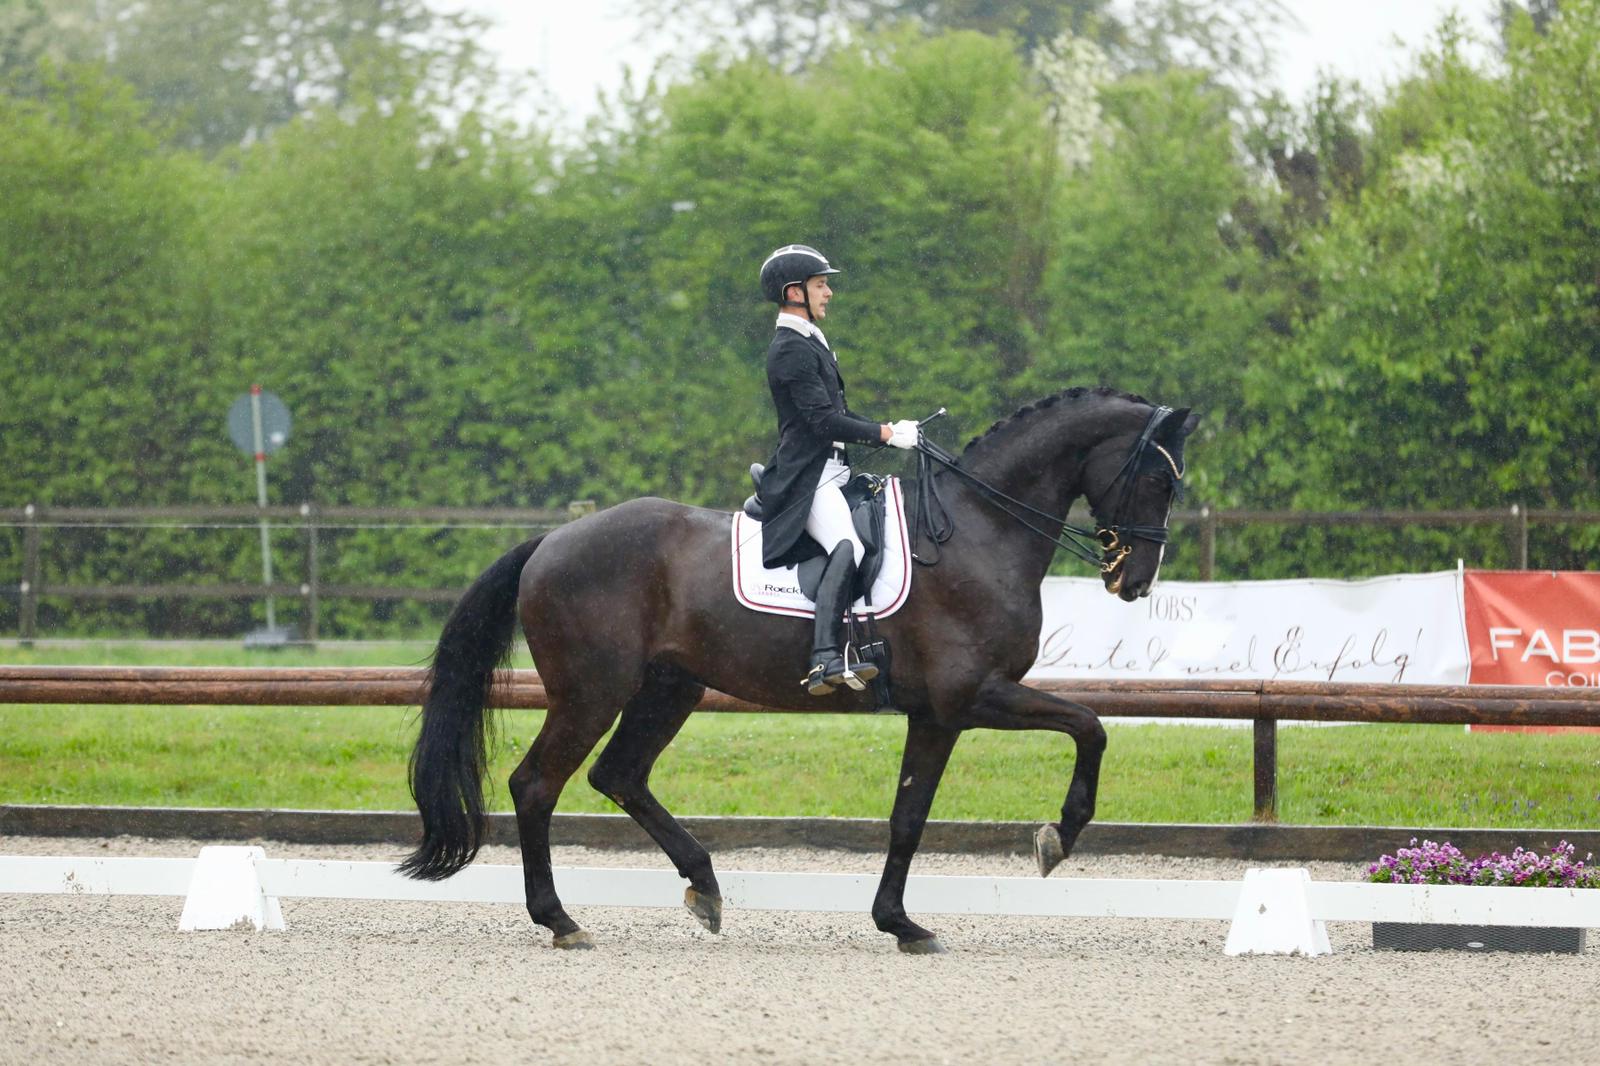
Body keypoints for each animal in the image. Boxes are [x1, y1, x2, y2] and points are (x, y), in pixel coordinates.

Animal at [400, 385, 1203, 947]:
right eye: (1159, 481)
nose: (1136, 583)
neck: (978, 532)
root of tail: (551, 541)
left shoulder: (937, 713)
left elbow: (909, 815)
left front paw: (899, 923)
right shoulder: (969, 697)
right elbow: (1090, 725)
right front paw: (1057, 839)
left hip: (670, 688)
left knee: (619, 775)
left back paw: (704, 886)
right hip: (591, 692)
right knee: (537, 784)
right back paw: (561, 920)